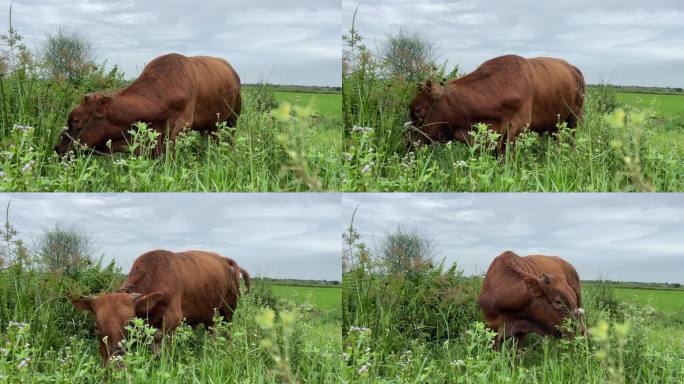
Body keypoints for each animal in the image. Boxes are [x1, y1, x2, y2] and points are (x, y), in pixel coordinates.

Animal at [69, 250, 250, 364]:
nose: (115, 359)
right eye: (96, 327)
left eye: (130, 324)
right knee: (212, 329)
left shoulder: (173, 319)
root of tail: (224, 259)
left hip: (229, 307)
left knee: (228, 330)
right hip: (209, 312)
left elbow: (165, 347)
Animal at [408, 54, 584, 150]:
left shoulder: (515, 130)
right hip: (557, 122)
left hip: (575, 116)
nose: (408, 143)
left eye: (418, 110)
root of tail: (573, 68)